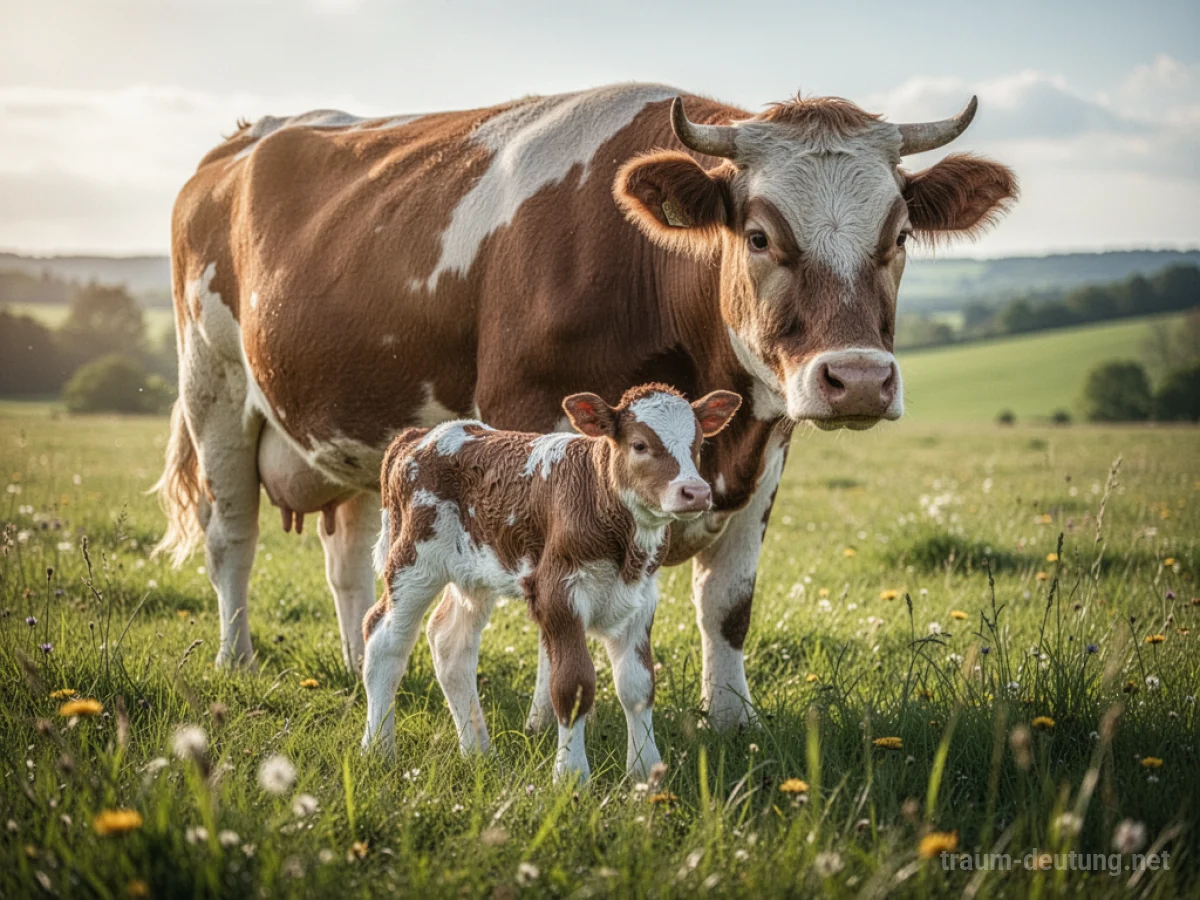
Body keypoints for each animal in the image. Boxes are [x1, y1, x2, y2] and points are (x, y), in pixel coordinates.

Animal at [154, 82, 1016, 732]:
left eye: (899, 235)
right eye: (760, 236)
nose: (859, 378)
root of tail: (243, 138)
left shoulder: (765, 445)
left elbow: (728, 604)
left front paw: (733, 721)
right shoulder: (535, 419)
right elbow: (556, 586)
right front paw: (547, 722)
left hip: (361, 432)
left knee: (351, 561)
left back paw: (348, 662)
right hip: (212, 382)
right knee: (232, 535)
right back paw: (237, 660)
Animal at [362, 385, 741, 781]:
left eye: (698, 444)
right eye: (639, 445)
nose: (695, 491)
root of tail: (419, 436)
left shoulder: (640, 599)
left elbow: (638, 686)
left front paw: (645, 773)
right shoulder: (558, 593)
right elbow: (573, 685)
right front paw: (571, 775)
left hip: (474, 572)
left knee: (449, 642)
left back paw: (480, 754)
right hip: (414, 561)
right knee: (384, 639)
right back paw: (378, 750)